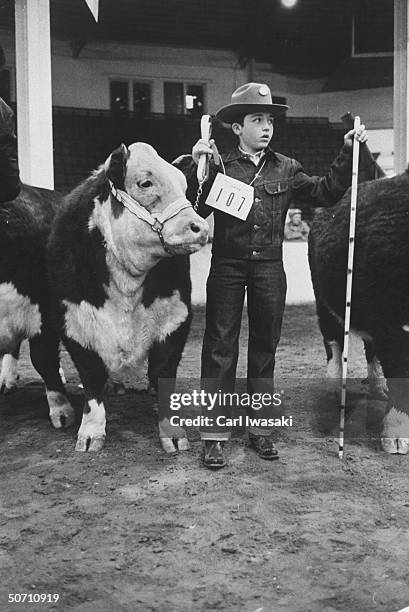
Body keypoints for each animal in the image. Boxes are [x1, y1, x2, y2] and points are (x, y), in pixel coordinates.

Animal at [308, 170, 408, 452]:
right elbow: (401, 372)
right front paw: (397, 434)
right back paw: (333, 387)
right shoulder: (391, 325)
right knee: (333, 342)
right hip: (324, 302)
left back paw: (378, 387)